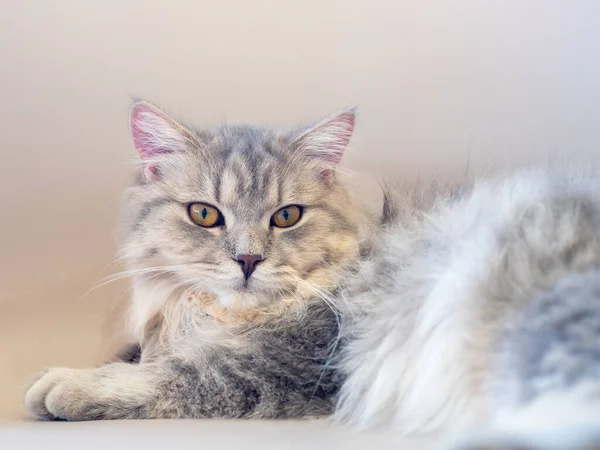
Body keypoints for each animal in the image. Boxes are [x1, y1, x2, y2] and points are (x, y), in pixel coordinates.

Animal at [24, 102, 600, 450]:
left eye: (286, 216)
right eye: (205, 215)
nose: (248, 260)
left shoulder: (298, 362)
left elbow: (176, 373)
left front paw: (62, 384)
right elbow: (141, 357)